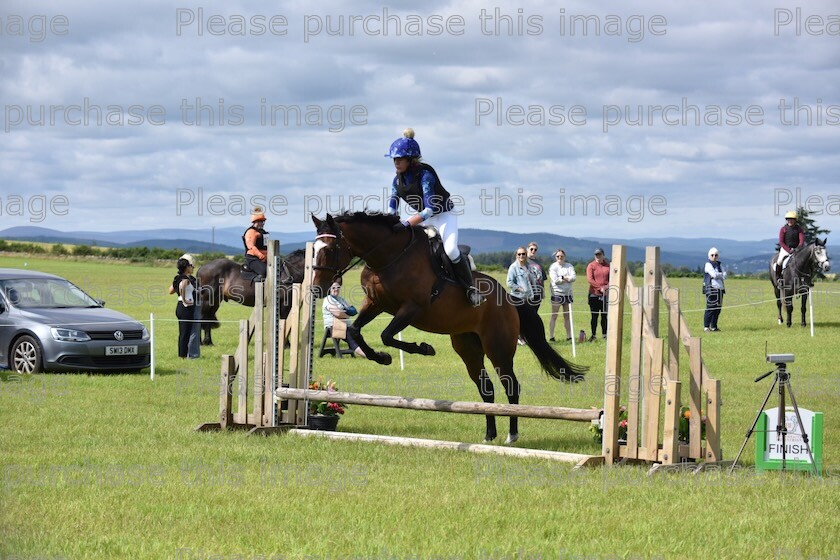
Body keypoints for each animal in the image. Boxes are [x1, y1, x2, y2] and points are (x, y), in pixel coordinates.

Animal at [312, 211, 588, 446]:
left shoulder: (412, 308)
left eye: (330, 249)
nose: (317, 288)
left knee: (511, 386)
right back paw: (489, 435)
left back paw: (512, 435)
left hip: (498, 349)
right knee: (486, 389)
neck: (388, 256)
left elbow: (387, 334)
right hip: (469, 348)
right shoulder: (375, 304)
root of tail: (509, 299)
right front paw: (382, 357)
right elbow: (355, 331)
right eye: (313, 250)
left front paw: (424, 348)